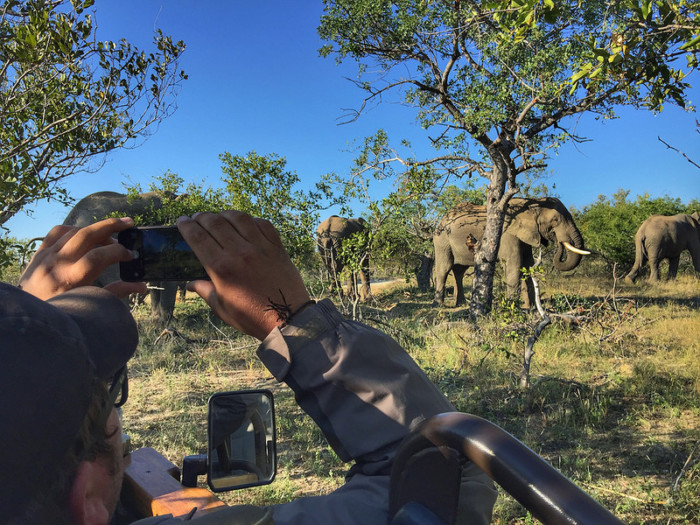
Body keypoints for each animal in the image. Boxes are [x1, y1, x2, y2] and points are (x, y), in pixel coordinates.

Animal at [432, 196, 592, 308]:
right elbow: (514, 265)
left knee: (459, 271)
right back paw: (439, 305)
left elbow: (528, 265)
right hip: (442, 240)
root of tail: (441, 219)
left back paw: (461, 304)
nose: (559, 243)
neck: (532, 203)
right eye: (555, 220)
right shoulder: (507, 233)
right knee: (444, 269)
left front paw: (530, 307)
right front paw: (512, 307)